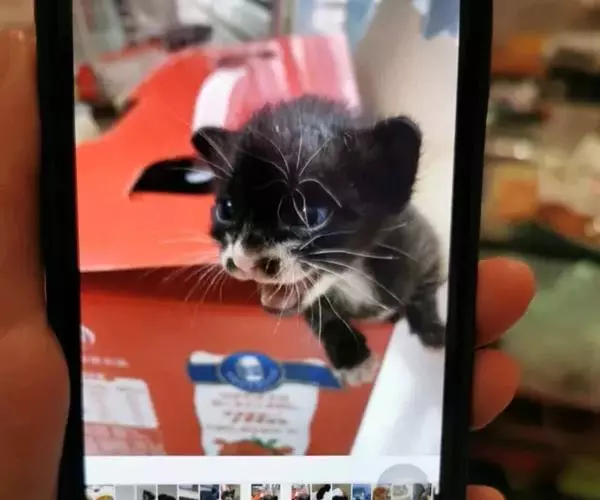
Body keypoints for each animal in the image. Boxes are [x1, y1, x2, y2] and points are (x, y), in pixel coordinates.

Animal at [192, 95, 445, 386]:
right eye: (227, 209)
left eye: (309, 214)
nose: (243, 260)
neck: (352, 277)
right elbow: (322, 313)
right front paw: (352, 359)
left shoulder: (425, 246)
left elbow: (426, 290)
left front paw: (433, 331)